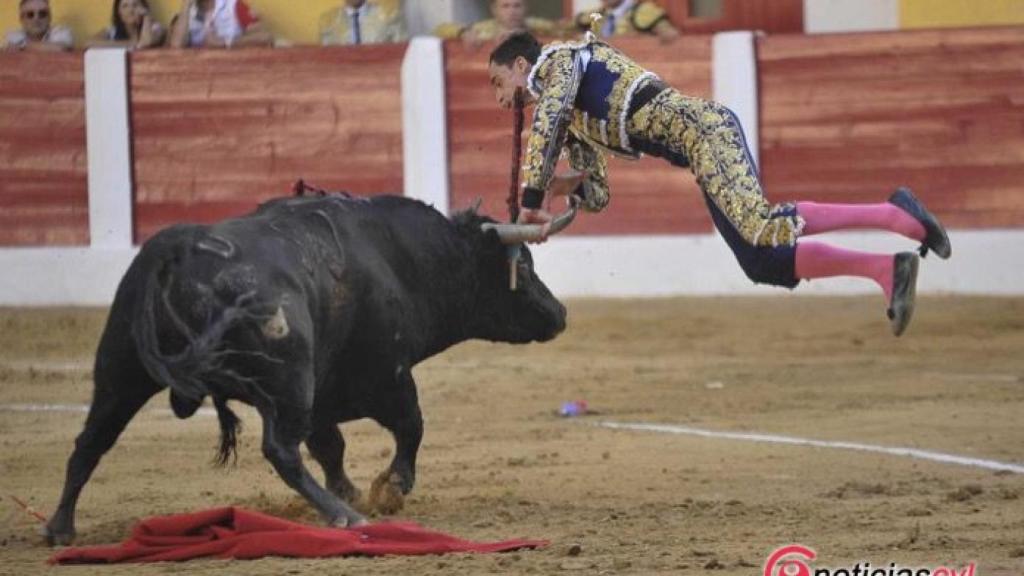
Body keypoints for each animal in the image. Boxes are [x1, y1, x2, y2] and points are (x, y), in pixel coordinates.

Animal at [44, 193, 565, 541]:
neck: (398, 258)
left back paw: (60, 528)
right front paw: (388, 489)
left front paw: (352, 489)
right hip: (288, 380)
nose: (560, 313)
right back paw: (341, 517)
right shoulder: (386, 376)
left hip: (120, 372)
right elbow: (411, 425)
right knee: (280, 450)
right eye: (523, 266)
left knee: (90, 441)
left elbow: (331, 445)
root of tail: (180, 249)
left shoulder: (326, 393)